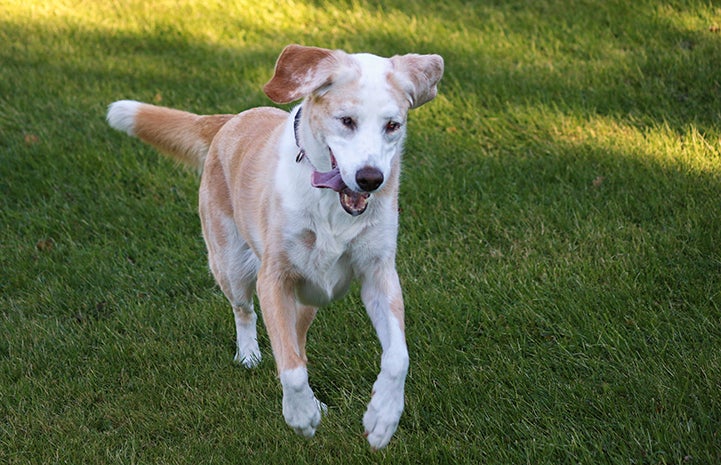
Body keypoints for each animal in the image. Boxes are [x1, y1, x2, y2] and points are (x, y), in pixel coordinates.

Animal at [105, 45, 444, 448]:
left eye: (392, 125)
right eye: (346, 120)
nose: (371, 179)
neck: (329, 204)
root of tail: (230, 121)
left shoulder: (379, 273)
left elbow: (396, 358)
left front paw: (383, 418)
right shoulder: (274, 278)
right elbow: (291, 368)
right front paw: (300, 416)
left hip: (308, 298)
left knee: (297, 342)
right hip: (231, 264)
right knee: (246, 313)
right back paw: (250, 356)